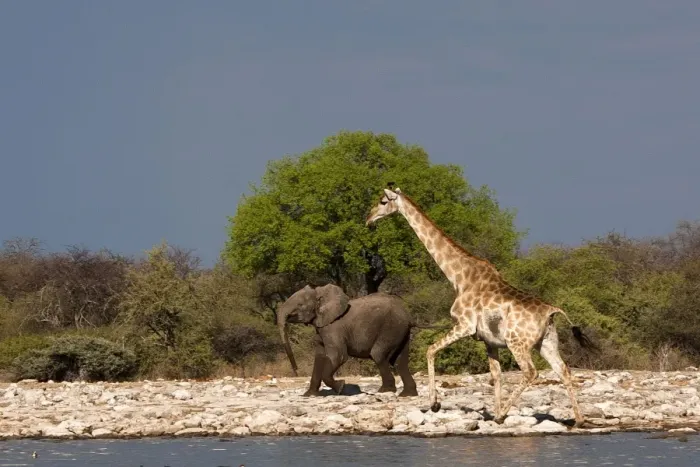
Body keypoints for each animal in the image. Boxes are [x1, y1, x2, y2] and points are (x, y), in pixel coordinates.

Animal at [277, 284, 421, 397]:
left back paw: (385, 391)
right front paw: (309, 395)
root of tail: (408, 316)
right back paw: (407, 394)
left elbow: (338, 356)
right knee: (400, 361)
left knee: (379, 355)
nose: (296, 371)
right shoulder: (322, 327)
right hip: (400, 331)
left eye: (299, 305)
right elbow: (319, 358)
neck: (321, 293)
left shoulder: (333, 328)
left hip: (391, 328)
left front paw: (341, 387)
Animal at [365, 185, 596, 427]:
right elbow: (496, 375)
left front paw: (435, 404)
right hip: (547, 342)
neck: (459, 278)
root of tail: (552, 312)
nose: (368, 219)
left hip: (518, 343)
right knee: (563, 370)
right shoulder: (488, 340)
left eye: (382, 201)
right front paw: (492, 412)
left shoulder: (464, 325)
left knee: (531, 372)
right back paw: (579, 420)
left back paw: (505, 415)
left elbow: (430, 350)